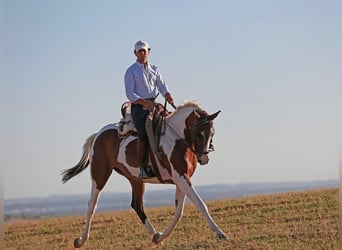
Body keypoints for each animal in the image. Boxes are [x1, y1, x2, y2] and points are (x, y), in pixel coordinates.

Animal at [61, 101, 227, 248]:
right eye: (199, 133)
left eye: (212, 133)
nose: (204, 158)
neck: (177, 138)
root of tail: (99, 134)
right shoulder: (181, 178)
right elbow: (200, 204)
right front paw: (220, 234)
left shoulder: (181, 179)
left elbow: (178, 212)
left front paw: (160, 236)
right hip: (99, 175)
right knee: (92, 205)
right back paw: (80, 240)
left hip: (135, 180)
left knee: (137, 205)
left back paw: (155, 236)